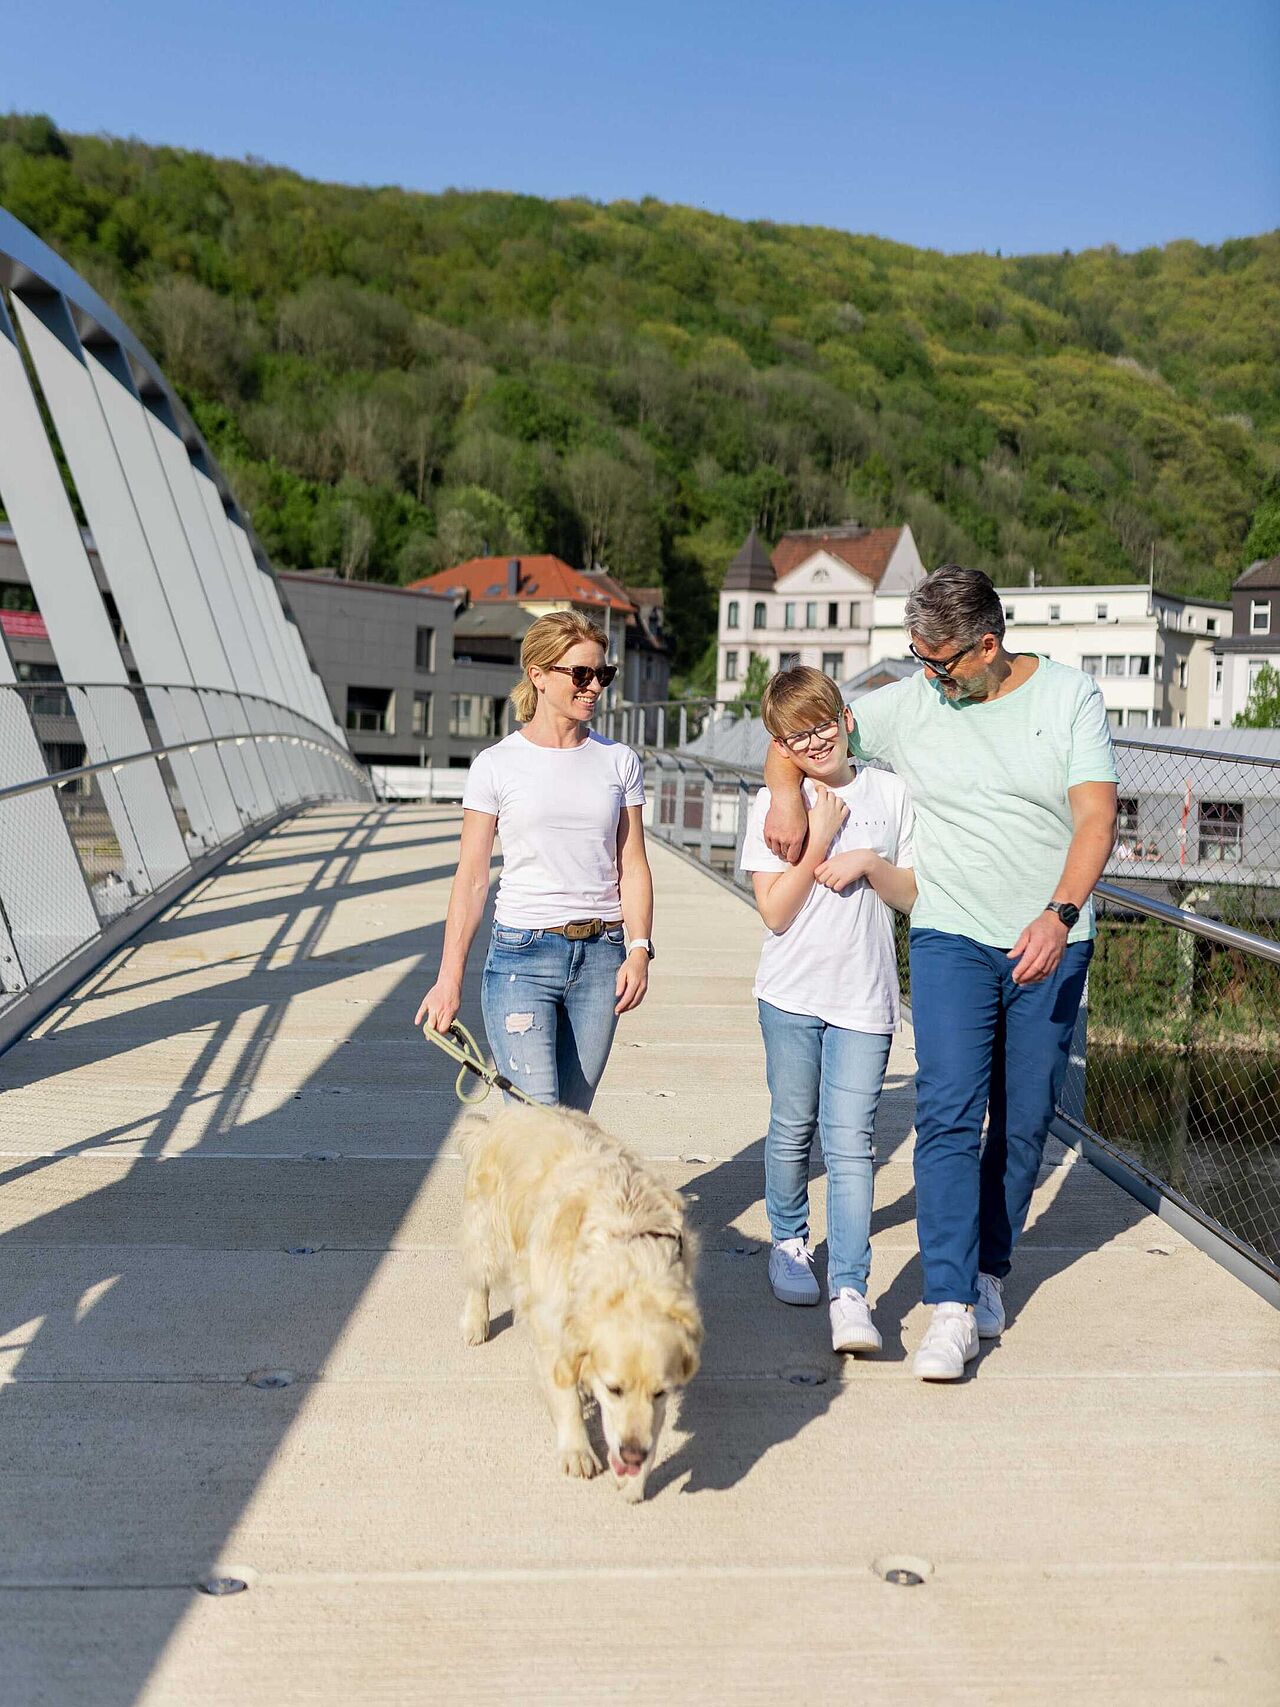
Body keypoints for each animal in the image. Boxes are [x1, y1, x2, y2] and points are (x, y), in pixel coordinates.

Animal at [457, 1099, 706, 1502]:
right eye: (614, 1389)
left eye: (660, 1392)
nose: (632, 1454)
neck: (628, 1261)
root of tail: (507, 1115)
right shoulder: (551, 1326)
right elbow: (565, 1393)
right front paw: (577, 1449)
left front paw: (635, 1478)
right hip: (487, 1232)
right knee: (478, 1277)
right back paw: (475, 1323)